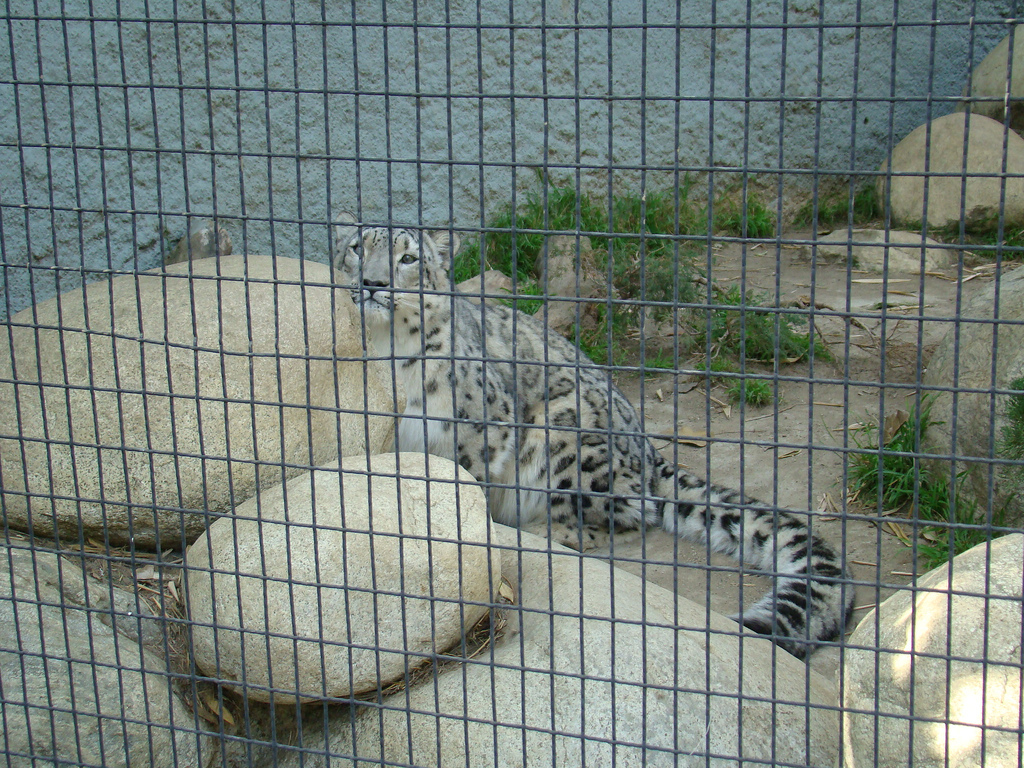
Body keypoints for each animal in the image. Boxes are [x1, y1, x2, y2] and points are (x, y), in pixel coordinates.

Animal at [332, 212, 854, 659]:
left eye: (408, 258)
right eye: (358, 248)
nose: (373, 284)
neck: (386, 353)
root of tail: (650, 455)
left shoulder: (479, 429)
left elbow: (470, 488)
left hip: (566, 433)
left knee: (615, 517)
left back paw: (536, 530)